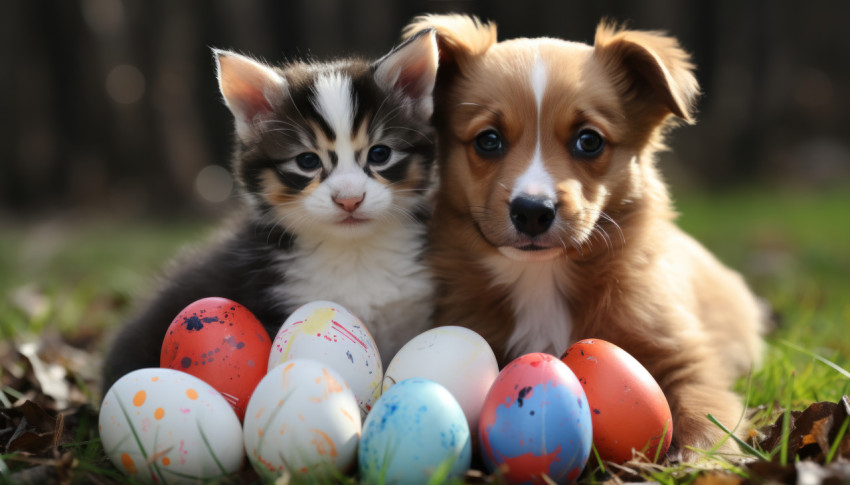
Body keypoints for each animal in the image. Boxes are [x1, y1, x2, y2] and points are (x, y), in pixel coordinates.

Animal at [400, 15, 764, 460]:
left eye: (589, 140)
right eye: (488, 140)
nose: (532, 211)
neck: (540, 280)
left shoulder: (686, 357)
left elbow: (705, 412)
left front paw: (697, 462)